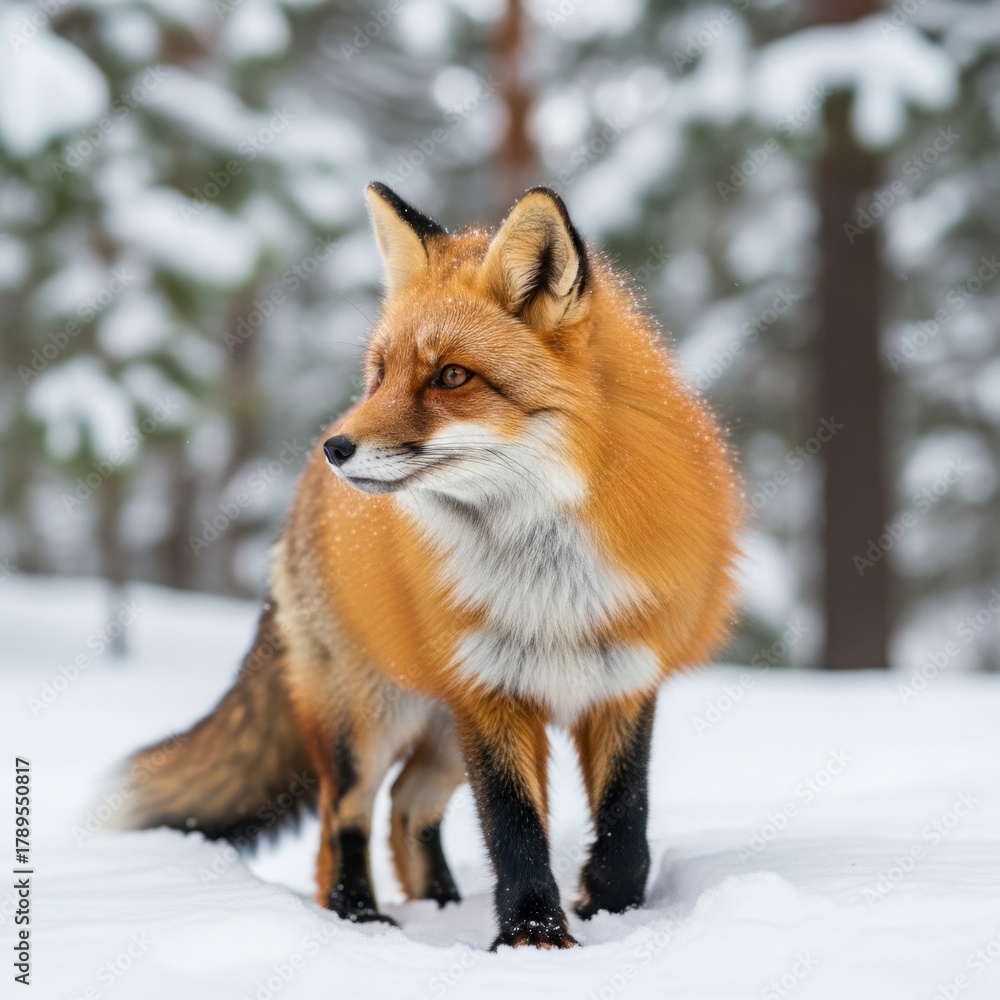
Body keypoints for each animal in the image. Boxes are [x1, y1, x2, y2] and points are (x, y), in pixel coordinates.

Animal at [117, 182, 741, 950]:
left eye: (451, 376)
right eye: (382, 374)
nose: (336, 447)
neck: (547, 576)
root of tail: (300, 499)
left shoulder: (623, 675)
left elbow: (628, 824)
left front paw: (609, 907)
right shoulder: (488, 689)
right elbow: (513, 827)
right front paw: (534, 935)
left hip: (439, 731)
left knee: (405, 807)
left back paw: (439, 904)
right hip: (368, 715)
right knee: (345, 816)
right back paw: (360, 915)